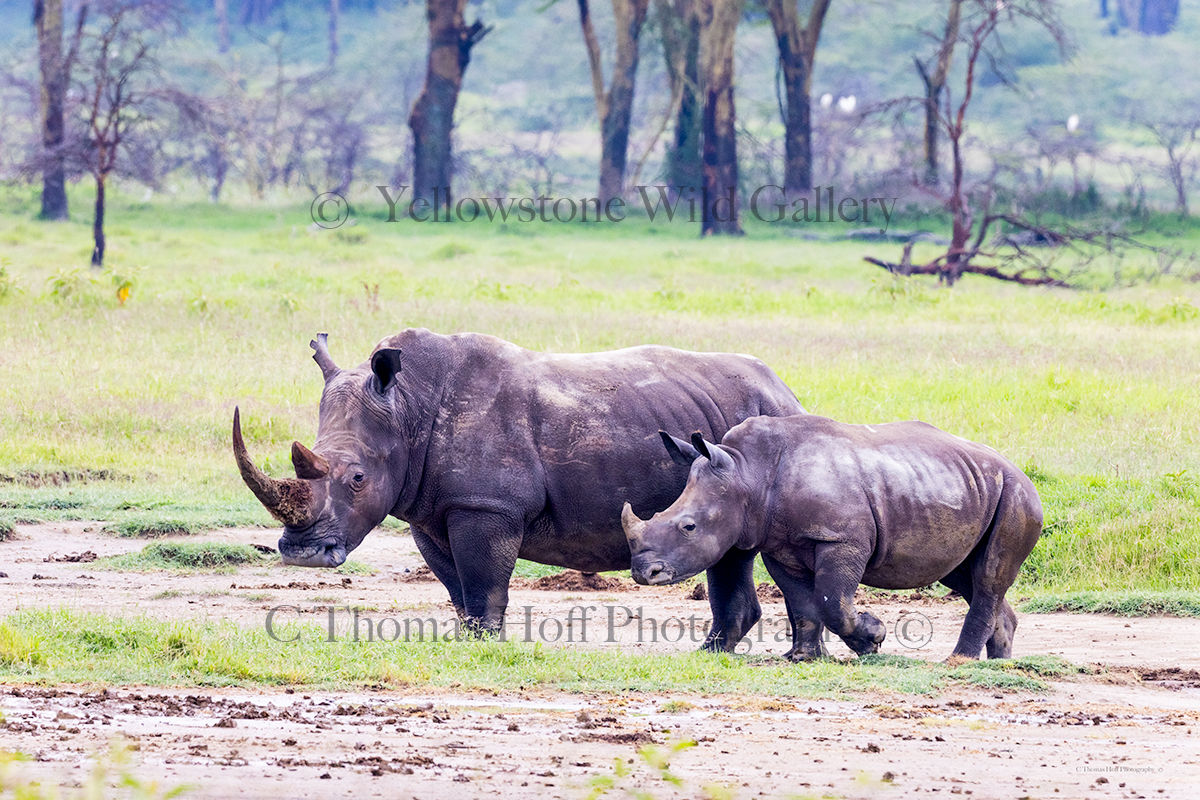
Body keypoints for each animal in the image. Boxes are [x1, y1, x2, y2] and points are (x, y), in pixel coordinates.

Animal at [233, 329, 804, 649]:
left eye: (357, 479)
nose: (302, 554)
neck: (407, 407)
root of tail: (784, 389)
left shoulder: (487, 505)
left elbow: (484, 580)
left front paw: (485, 645)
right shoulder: (431, 511)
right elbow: (455, 585)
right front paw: (468, 640)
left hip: (755, 431)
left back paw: (710, 651)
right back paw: (713, 652)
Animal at [621, 415, 1043, 661]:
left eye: (688, 527)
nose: (644, 573)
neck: (747, 473)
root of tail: (1020, 471)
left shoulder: (840, 539)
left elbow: (832, 600)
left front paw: (874, 638)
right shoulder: (780, 544)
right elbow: (802, 602)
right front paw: (802, 658)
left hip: (1016, 496)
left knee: (986, 576)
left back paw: (958, 661)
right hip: (967, 486)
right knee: (963, 574)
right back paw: (998, 663)